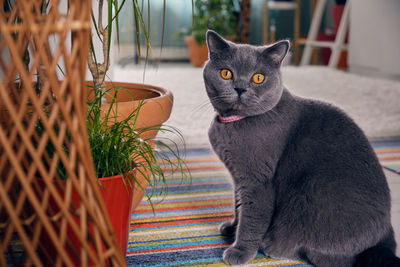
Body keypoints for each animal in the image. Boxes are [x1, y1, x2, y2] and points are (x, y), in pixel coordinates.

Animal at [203, 30, 400, 266]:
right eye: (226, 73)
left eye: (258, 77)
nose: (240, 88)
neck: (232, 122)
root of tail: (387, 234)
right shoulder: (239, 177)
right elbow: (238, 206)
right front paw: (232, 228)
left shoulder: (257, 181)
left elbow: (251, 217)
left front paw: (240, 251)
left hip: (312, 193)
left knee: (331, 257)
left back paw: (273, 247)